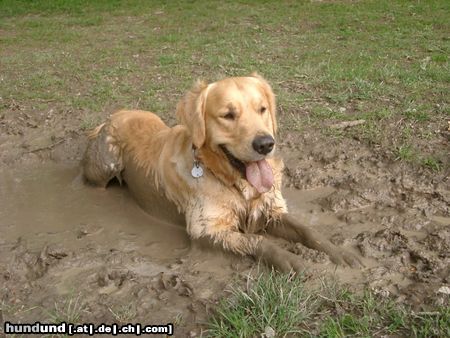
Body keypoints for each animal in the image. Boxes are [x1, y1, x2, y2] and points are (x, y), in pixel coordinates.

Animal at [81, 73, 362, 272]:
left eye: (262, 109)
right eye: (228, 115)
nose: (265, 144)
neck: (234, 182)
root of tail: (114, 115)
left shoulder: (269, 209)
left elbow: (307, 230)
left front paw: (339, 252)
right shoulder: (206, 229)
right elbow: (258, 240)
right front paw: (291, 260)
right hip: (104, 167)